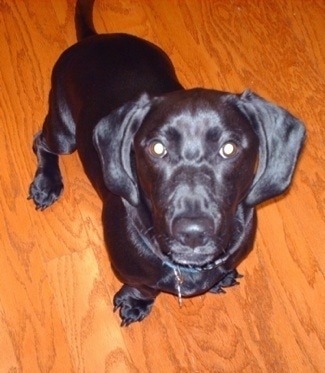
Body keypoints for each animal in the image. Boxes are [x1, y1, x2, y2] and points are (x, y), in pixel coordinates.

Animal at [27, 0, 304, 326]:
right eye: (157, 148)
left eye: (229, 148)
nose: (193, 232)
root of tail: (94, 39)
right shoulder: (131, 271)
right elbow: (144, 287)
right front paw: (136, 302)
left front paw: (220, 277)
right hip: (64, 132)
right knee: (42, 141)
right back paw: (46, 184)